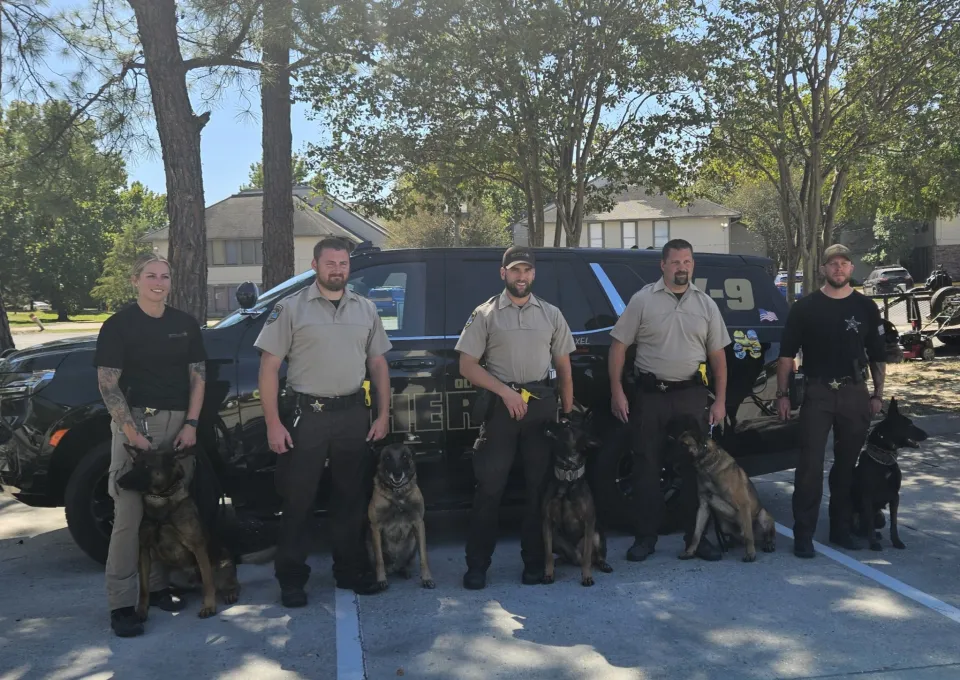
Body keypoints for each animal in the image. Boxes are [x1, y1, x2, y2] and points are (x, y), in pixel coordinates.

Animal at [364, 440, 436, 588]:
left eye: (404, 457)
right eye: (387, 458)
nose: (397, 474)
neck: (398, 493)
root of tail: (394, 566)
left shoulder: (419, 523)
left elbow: (424, 557)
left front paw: (427, 578)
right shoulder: (375, 526)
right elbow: (379, 559)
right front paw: (381, 580)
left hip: (413, 541)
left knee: (406, 563)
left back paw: (405, 570)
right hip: (369, 541)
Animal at [668, 414, 780, 564]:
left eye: (683, 445)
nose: (666, 459)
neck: (707, 465)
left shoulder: (744, 504)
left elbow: (749, 536)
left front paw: (750, 554)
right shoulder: (704, 506)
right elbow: (696, 533)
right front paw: (690, 552)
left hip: (762, 516)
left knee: (762, 534)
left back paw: (768, 543)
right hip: (723, 525)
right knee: (736, 535)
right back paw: (728, 542)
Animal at [852, 398, 928, 552]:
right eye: (909, 424)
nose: (927, 435)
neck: (884, 458)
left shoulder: (895, 496)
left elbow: (894, 523)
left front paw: (896, 542)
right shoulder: (868, 496)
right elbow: (870, 523)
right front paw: (874, 544)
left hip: (881, 517)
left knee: (869, 528)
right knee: (860, 528)